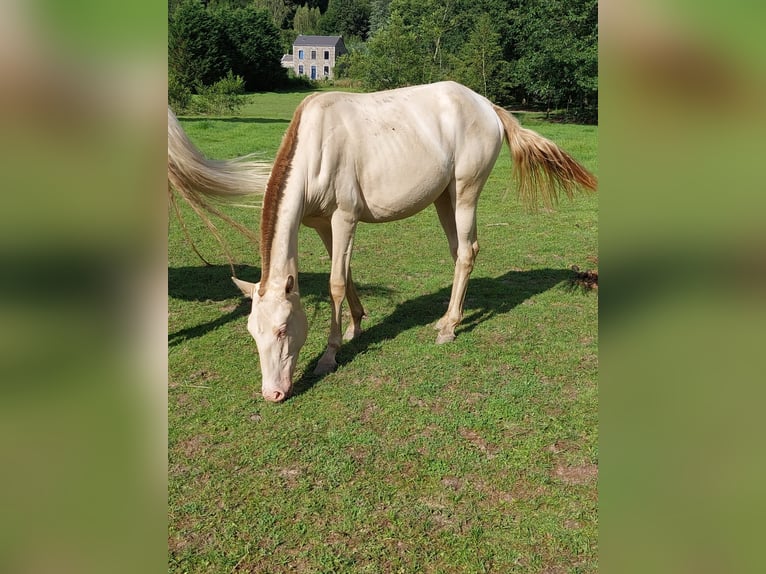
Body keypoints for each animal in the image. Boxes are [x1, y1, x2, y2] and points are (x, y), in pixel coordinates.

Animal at [170, 81, 600, 404]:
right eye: (252, 332)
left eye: (281, 329)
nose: (272, 394)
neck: (316, 146)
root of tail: (485, 105)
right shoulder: (321, 224)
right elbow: (345, 274)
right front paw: (355, 327)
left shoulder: (344, 218)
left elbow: (335, 282)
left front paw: (329, 355)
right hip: (443, 197)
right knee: (459, 253)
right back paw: (448, 318)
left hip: (465, 192)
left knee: (467, 252)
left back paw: (449, 329)